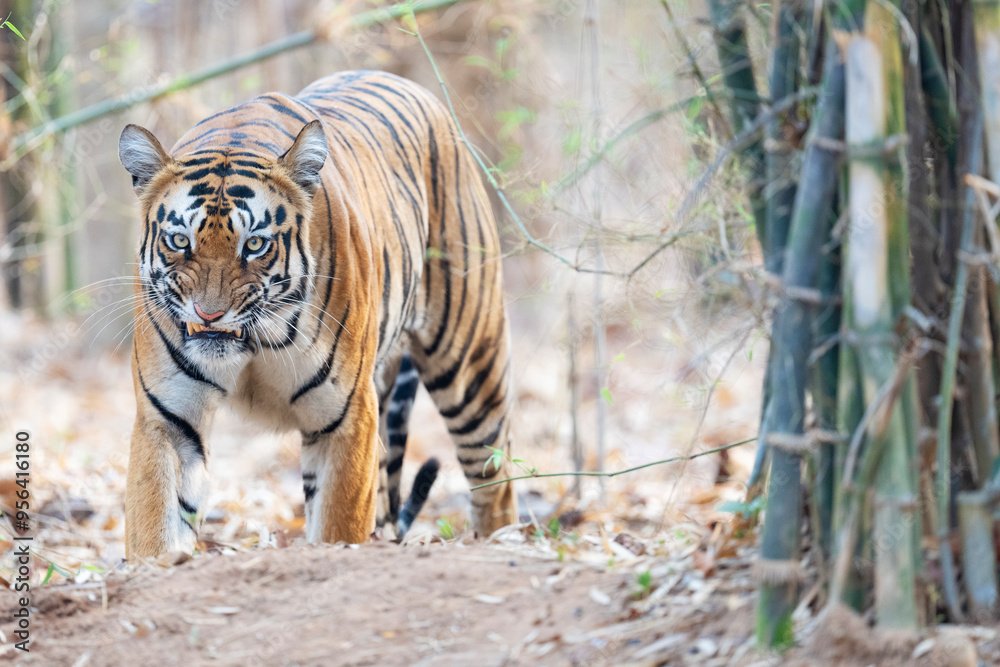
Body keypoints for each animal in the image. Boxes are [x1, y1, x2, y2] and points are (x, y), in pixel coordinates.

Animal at [118, 70, 518, 560]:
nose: (210, 315)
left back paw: (505, 542)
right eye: (179, 240)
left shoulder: (346, 417)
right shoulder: (167, 417)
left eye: (255, 244)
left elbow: (339, 527)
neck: (253, 343)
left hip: (469, 365)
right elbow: (155, 523)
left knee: (494, 476)